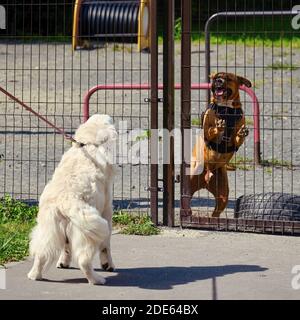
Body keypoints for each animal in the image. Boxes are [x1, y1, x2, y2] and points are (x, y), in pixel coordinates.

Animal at [27, 114, 117, 284]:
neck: (88, 145)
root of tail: (66, 201)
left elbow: (66, 247)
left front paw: (63, 262)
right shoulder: (107, 211)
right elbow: (106, 245)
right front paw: (108, 264)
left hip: (49, 229)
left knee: (41, 254)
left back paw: (35, 275)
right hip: (89, 232)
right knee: (84, 261)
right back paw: (97, 280)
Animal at [190, 72, 251, 218]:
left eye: (228, 78)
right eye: (214, 77)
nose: (218, 80)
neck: (226, 108)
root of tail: (206, 179)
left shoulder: (235, 136)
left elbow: (237, 138)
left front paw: (241, 133)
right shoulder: (207, 129)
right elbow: (210, 130)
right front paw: (218, 126)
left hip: (223, 195)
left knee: (216, 212)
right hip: (190, 182)